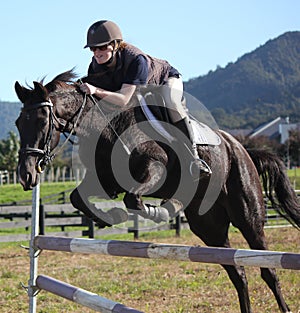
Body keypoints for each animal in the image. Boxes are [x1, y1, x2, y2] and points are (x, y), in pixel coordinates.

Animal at [15, 69, 298, 310]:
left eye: (42, 121)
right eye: (19, 123)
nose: (26, 175)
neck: (105, 127)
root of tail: (241, 147)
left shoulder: (154, 167)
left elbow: (133, 198)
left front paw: (156, 211)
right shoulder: (105, 180)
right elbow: (78, 197)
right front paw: (110, 217)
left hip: (248, 216)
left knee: (268, 269)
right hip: (209, 227)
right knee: (238, 273)